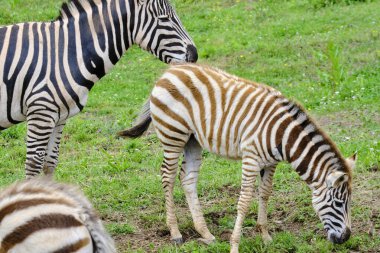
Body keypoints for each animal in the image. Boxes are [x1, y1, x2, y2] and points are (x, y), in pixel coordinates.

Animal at [0, 0, 196, 179]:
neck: (68, 52)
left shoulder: (58, 116)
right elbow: (33, 167)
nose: (194, 55)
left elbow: (50, 163)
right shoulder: (41, 112)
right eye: (164, 19)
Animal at [120, 64, 358, 252]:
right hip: (173, 135)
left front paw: (265, 236)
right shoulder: (251, 159)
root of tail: (169, 71)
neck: (282, 135)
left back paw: (205, 234)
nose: (346, 238)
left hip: (192, 139)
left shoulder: (271, 163)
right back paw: (175, 233)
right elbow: (243, 202)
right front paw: (235, 245)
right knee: (167, 177)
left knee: (187, 179)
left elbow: (265, 193)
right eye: (339, 203)